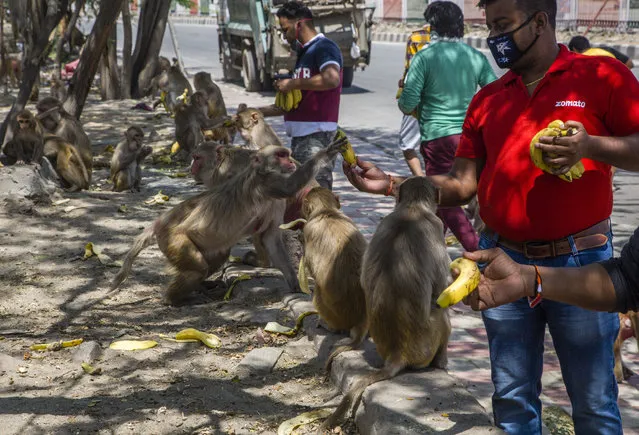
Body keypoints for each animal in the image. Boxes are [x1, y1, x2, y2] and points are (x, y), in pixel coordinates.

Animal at [110, 140, 344, 306]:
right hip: (173, 239)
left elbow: (270, 238)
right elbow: (291, 186)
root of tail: (160, 225)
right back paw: (173, 298)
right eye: (280, 155)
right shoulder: (268, 183)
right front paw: (326, 154)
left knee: (213, 259)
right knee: (198, 267)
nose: (290, 162)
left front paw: (295, 284)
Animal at [322, 176, 452, 430]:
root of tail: (397, 353)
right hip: (427, 344)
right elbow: (443, 290)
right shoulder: (436, 225)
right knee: (441, 313)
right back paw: (441, 362)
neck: (412, 209)